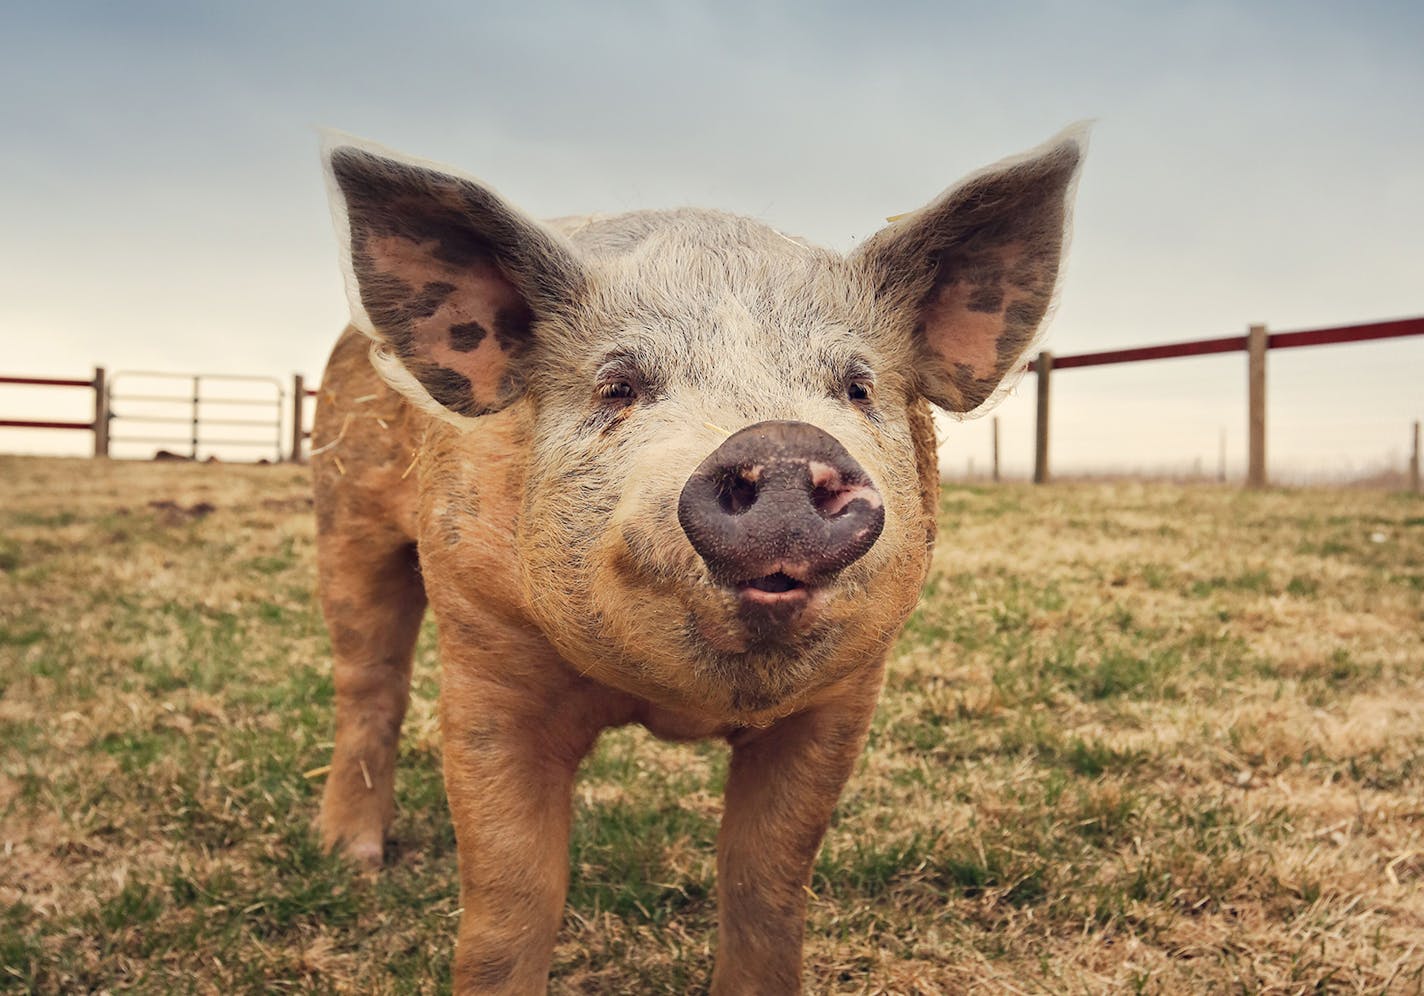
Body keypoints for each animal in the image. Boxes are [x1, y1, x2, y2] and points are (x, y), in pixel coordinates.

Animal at [311, 126, 1082, 996]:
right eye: (617, 387)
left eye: (856, 387)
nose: (782, 443)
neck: (671, 705)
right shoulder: (485, 655)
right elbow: (513, 900)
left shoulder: (845, 697)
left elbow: (766, 880)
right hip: (345, 517)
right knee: (369, 679)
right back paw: (349, 859)